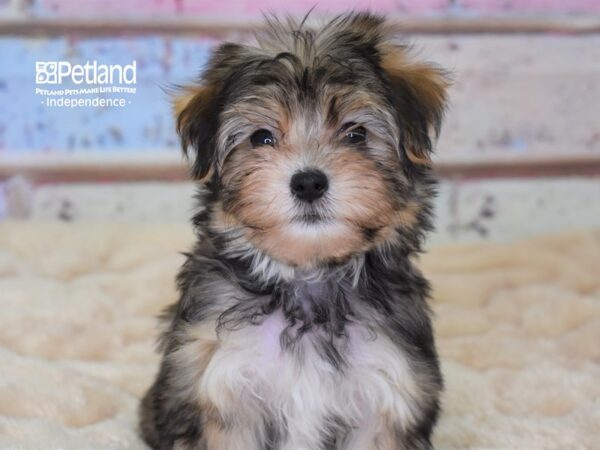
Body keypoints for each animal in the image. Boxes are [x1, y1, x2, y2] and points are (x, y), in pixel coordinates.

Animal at [141, 11, 448, 450]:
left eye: (356, 133)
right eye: (262, 137)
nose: (308, 182)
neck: (308, 281)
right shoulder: (222, 387)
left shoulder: (389, 393)